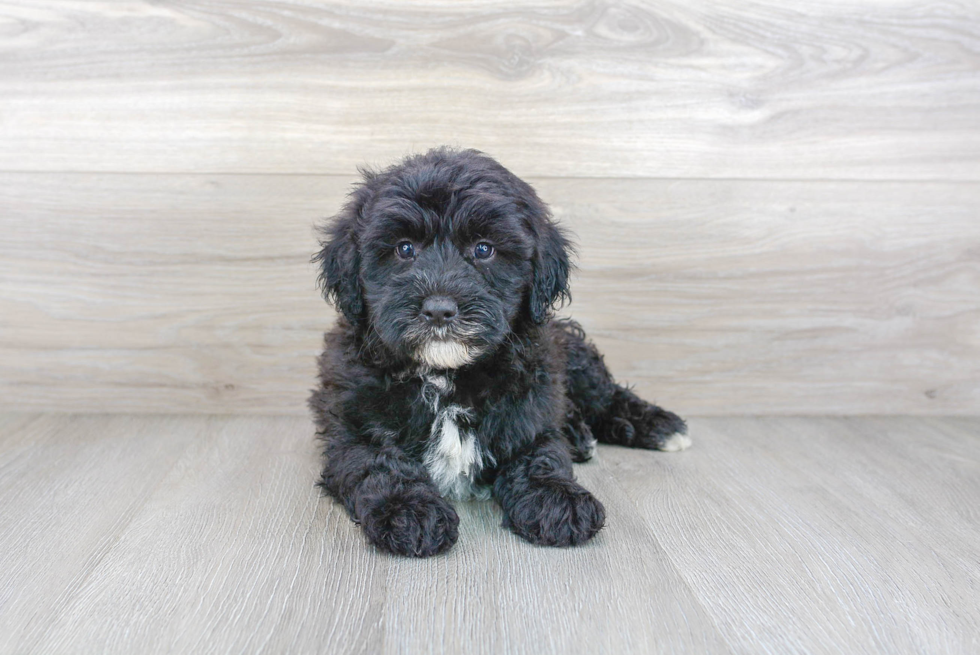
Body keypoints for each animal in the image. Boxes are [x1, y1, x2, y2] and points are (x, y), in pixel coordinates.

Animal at [308, 149, 688, 560]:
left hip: (575, 357)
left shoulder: (530, 404)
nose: (439, 309)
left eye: (484, 249)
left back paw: (659, 426)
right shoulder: (352, 421)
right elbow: (378, 462)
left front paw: (556, 497)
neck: (446, 374)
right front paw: (409, 510)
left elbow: (538, 453)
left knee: (605, 396)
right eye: (404, 248)